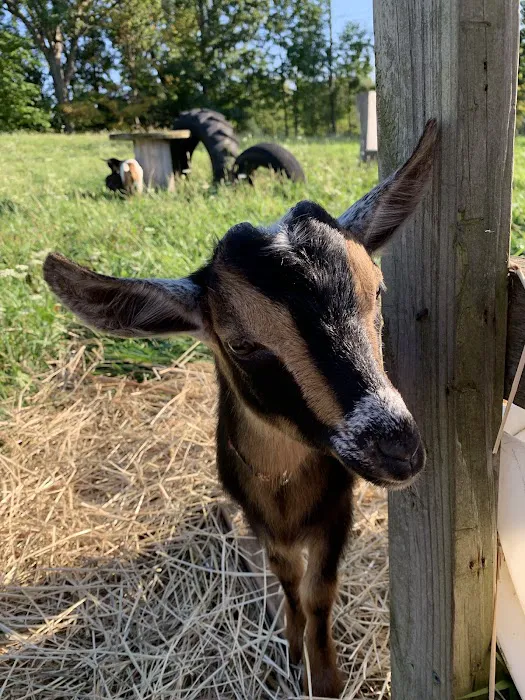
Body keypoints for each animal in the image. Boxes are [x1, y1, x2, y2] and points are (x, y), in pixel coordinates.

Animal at [44, 120, 437, 698]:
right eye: (241, 343)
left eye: (379, 292)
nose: (397, 446)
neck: (285, 490)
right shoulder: (258, 518)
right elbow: (288, 580)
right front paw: (293, 645)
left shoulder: (335, 513)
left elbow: (320, 591)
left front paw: (325, 674)